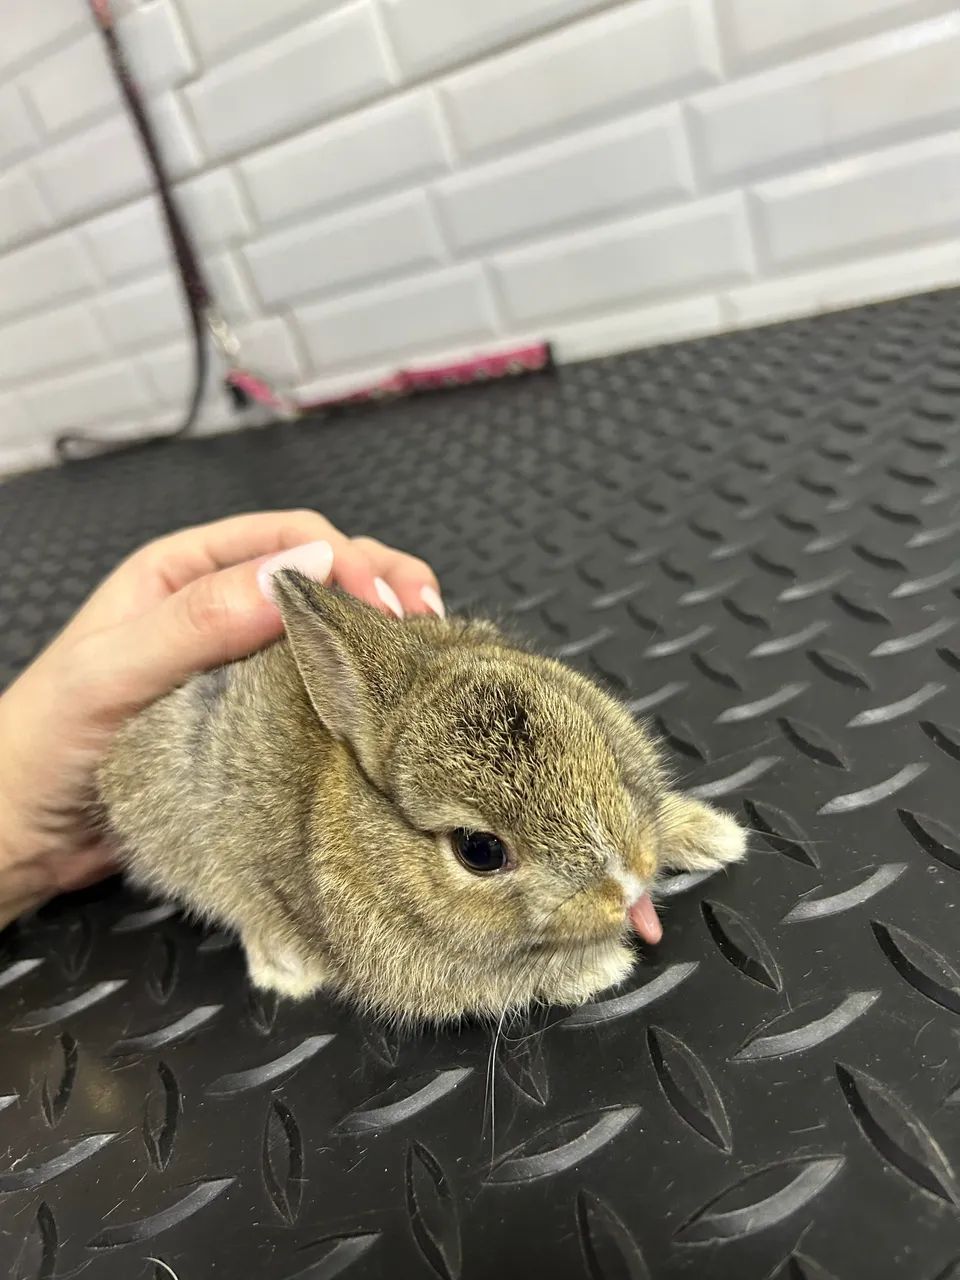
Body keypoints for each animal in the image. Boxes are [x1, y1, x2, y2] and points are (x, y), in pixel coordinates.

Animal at [97, 569, 746, 1024]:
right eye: (480, 850)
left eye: (600, 743)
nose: (629, 884)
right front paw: (604, 966)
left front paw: (718, 836)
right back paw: (286, 968)